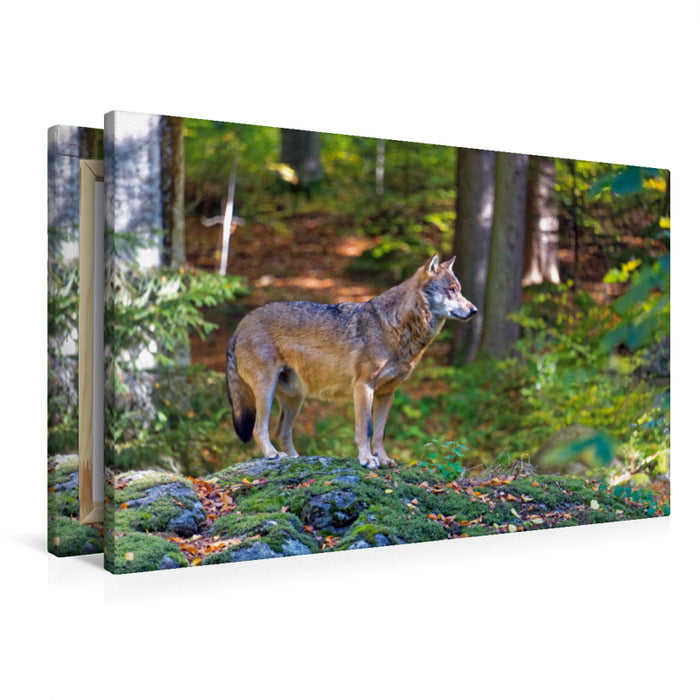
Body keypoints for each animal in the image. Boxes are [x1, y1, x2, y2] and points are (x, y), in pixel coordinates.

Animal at [226, 254, 477, 468]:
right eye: (451, 290)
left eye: (460, 291)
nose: (474, 310)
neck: (397, 326)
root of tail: (240, 324)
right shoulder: (363, 386)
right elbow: (365, 430)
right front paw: (367, 460)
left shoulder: (387, 393)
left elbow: (380, 433)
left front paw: (383, 459)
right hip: (266, 390)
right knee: (259, 429)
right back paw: (272, 455)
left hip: (295, 398)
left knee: (281, 431)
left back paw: (296, 458)